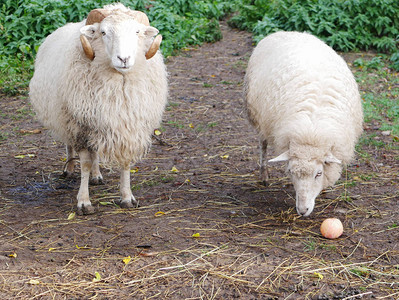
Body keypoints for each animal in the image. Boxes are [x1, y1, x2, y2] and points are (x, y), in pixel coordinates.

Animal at [29, 4, 169, 216]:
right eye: (103, 32)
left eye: (137, 32)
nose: (124, 59)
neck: (120, 83)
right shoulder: (79, 126)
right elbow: (85, 164)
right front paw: (84, 202)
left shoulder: (128, 128)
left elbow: (125, 162)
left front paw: (127, 197)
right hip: (64, 116)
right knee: (70, 145)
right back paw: (69, 168)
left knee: (94, 152)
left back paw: (96, 176)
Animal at [245, 31, 364, 217]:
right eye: (291, 172)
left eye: (319, 173)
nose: (302, 210)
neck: (311, 133)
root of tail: (284, 32)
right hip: (258, 116)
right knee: (262, 144)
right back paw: (264, 175)